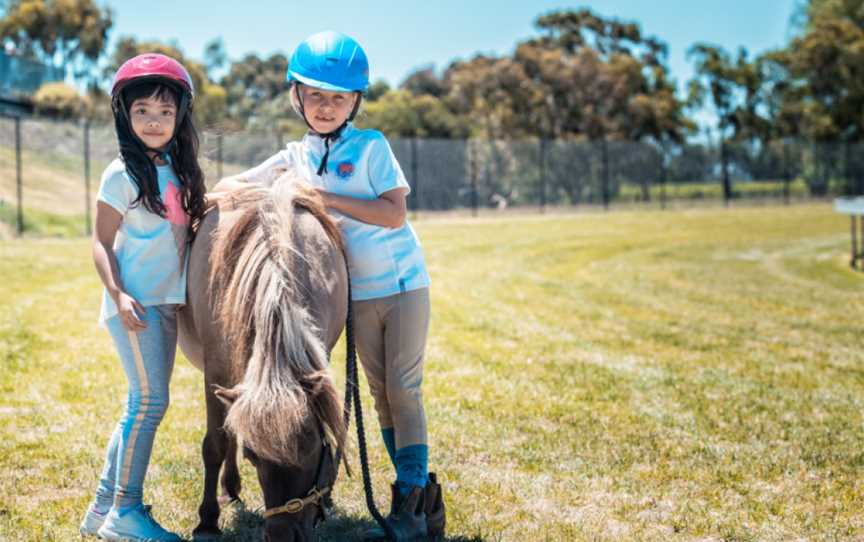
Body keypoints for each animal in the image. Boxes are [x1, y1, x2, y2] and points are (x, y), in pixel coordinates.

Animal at [177, 176, 350, 540]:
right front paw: (207, 520)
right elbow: (216, 443)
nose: (282, 536)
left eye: (312, 450)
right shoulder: (216, 370)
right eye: (253, 456)